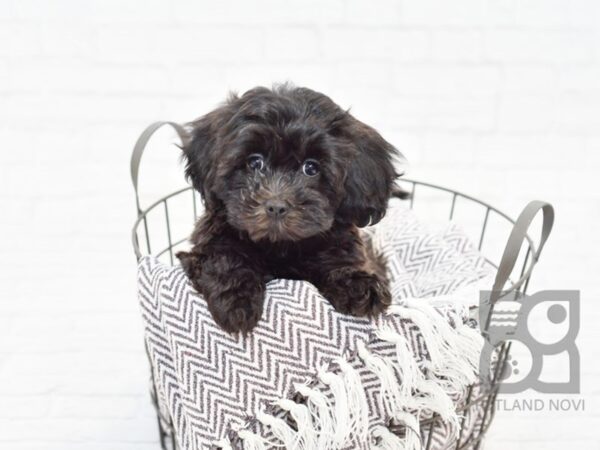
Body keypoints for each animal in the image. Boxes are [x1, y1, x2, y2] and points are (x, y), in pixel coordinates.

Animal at [176, 84, 406, 334]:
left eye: (311, 168)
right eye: (254, 163)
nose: (276, 206)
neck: (280, 245)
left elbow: (340, 263)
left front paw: (359, 284)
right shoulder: (207, 243)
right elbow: (223, 256)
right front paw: (235, 301)